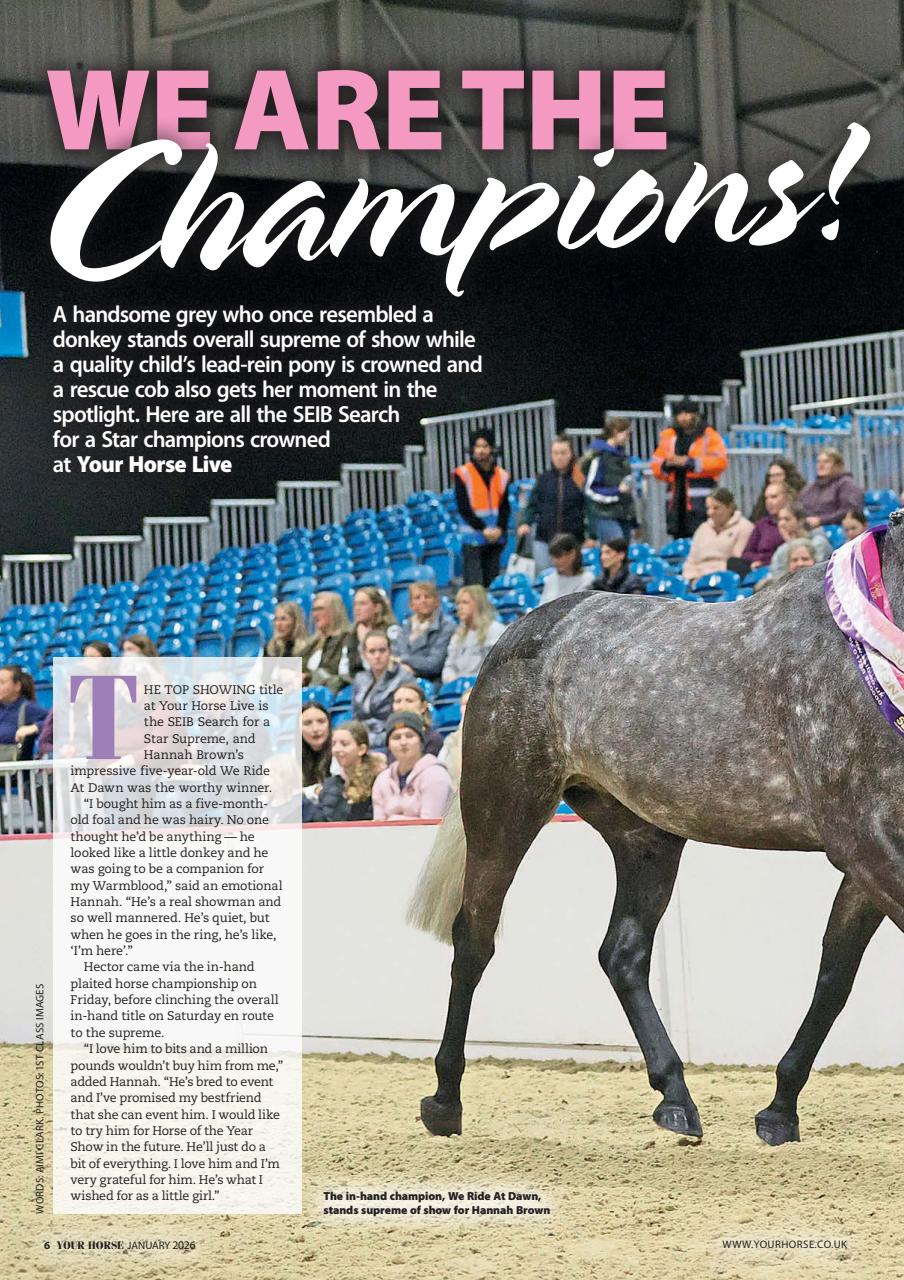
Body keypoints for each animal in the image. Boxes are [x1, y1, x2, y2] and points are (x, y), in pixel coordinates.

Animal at [407, 514, 904, 1147]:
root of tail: (523, 631)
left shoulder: (869, 857)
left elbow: (835, 975)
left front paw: (778, 1112)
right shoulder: (864, 842)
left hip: (646, 840)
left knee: (622, 953)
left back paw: (675, 1097)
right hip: (506, 808)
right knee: (474, 938)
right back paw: (444, 1102)